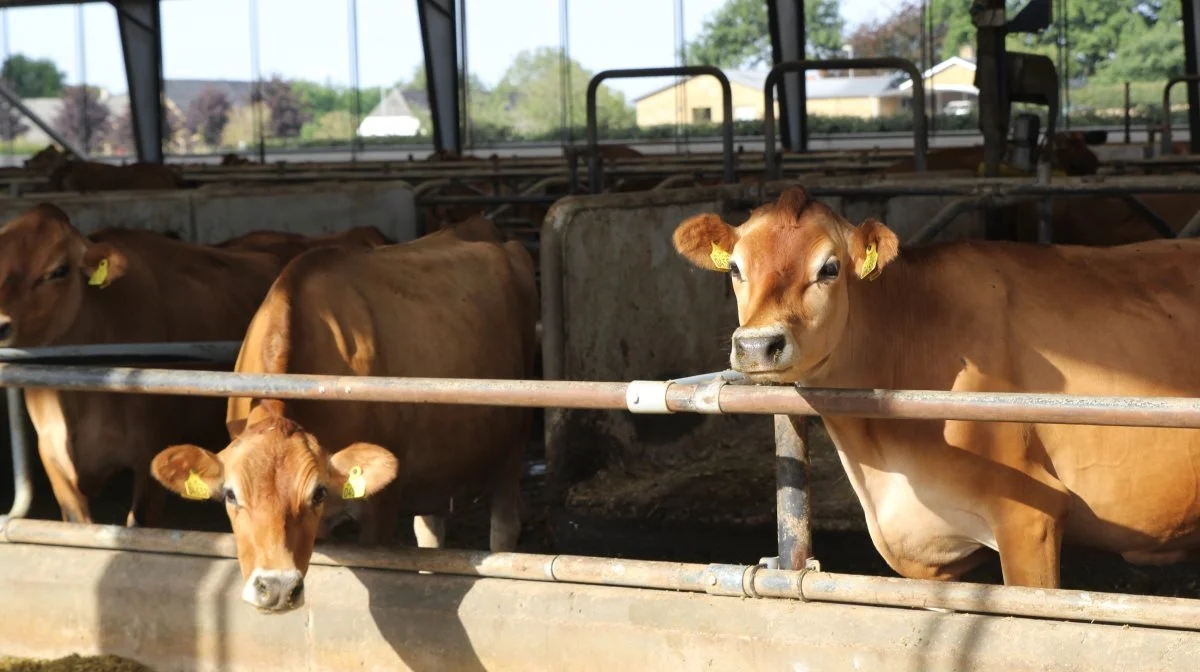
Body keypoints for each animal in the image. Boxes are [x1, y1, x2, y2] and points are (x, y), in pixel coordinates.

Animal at [152, 218, 537, 612]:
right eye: (230, 495)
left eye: (317, 493)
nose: (276, 587)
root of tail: (479, 226)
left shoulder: (381, 505)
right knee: (431, 532)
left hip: (514, 444)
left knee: (504, 527)